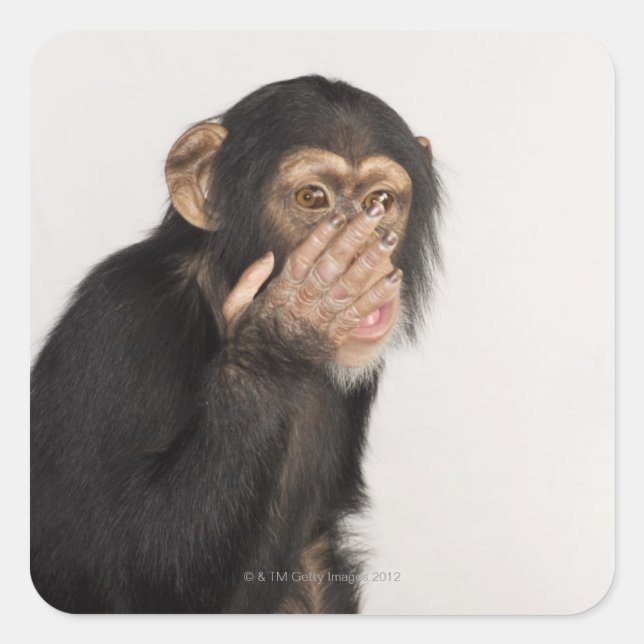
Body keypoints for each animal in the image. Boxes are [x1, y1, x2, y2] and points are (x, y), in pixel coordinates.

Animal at [30, 74, 441, 613]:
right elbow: (138, 566)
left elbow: (313, 556)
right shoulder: (120, 321)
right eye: (312, 198)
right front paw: (279, 338)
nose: (366, 254)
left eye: (381, 203)